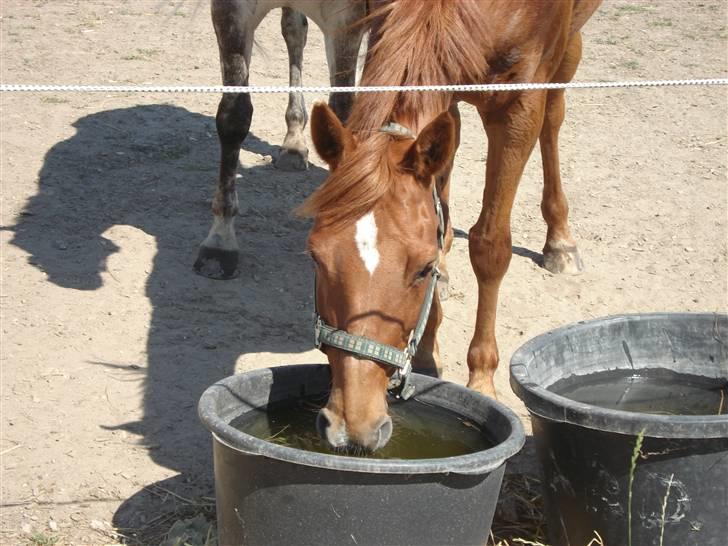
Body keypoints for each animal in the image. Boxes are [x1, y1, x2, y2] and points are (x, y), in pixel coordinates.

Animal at [298, 0, 600, 450]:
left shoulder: (519, 104)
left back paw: (560, 241)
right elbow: (440, 223)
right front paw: (425, 354)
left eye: (422, 269)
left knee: (556, 113)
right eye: (316, 258)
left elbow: (490, 245)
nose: (353, 424)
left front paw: (482, 379)